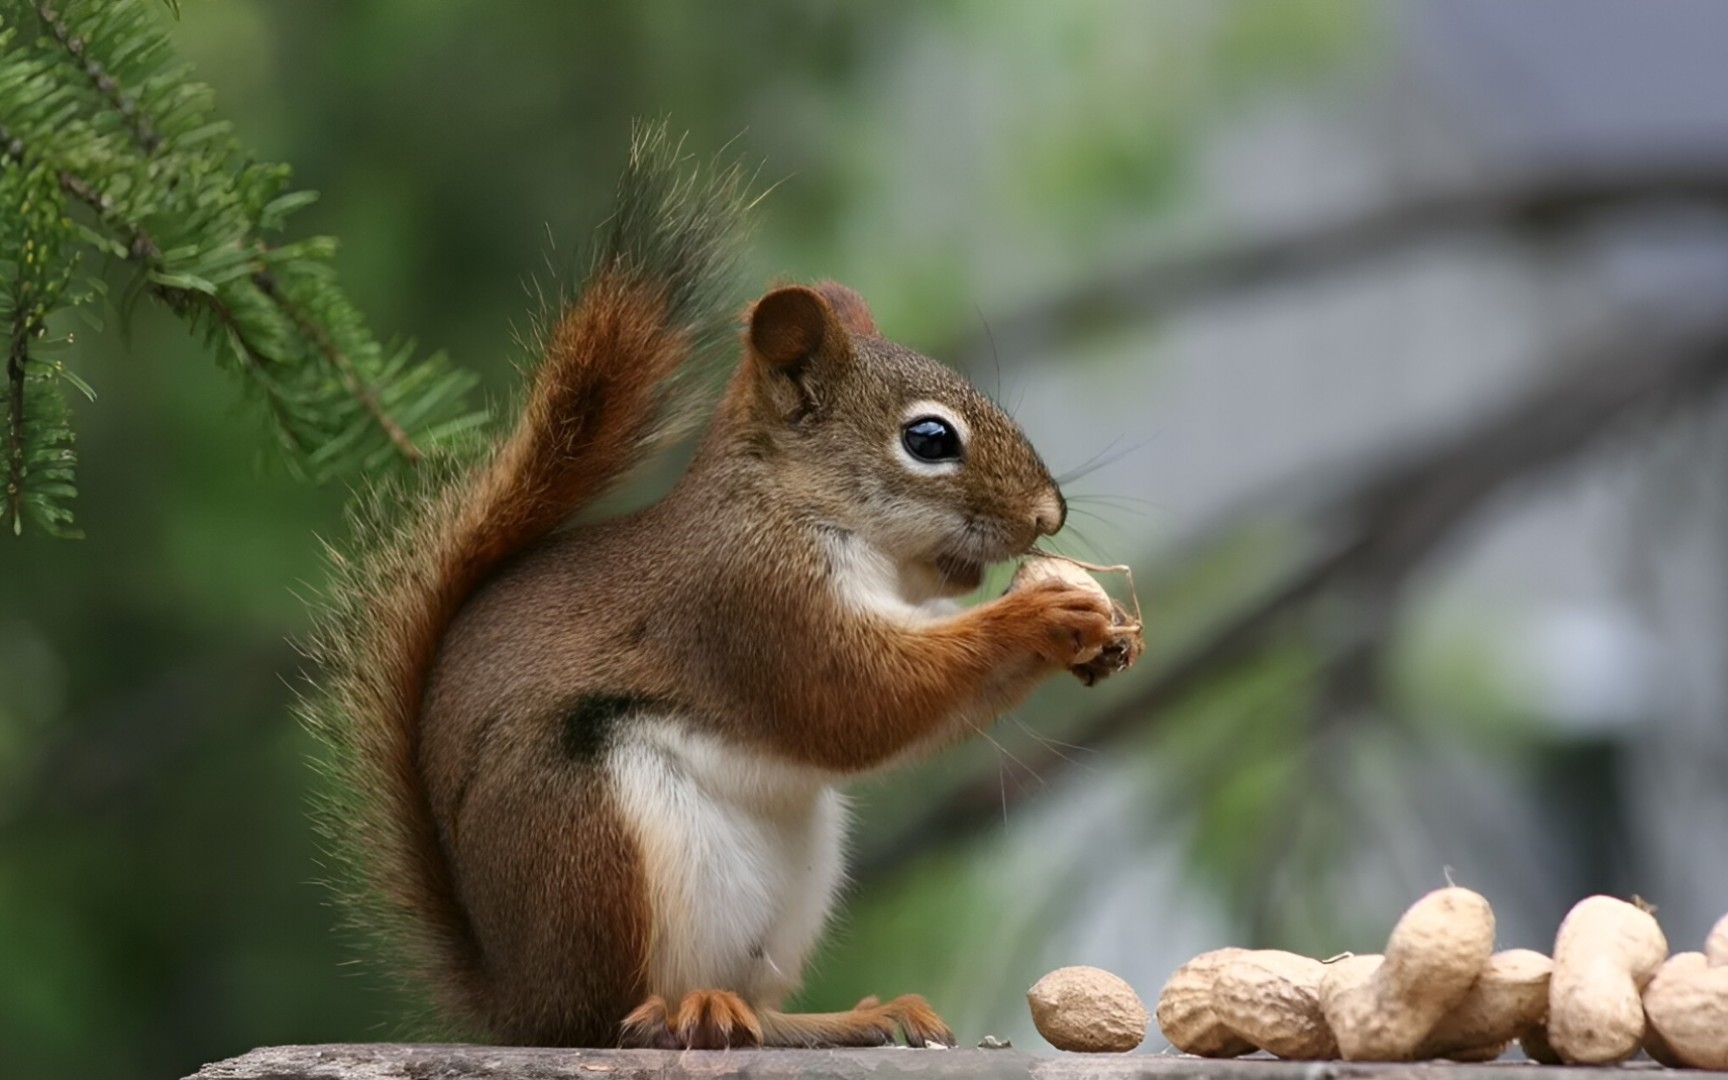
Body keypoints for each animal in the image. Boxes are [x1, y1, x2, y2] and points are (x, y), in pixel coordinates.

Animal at [302, 124, 1119, 1043]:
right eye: (930, 439)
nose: (1049, 514)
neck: (809, 512)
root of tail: (518, 1001)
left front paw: (1091, 628)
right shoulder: (748, 602)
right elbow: (857, 700)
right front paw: (1041, 613)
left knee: (760, 1010)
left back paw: (844, 1017)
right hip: (593, 841)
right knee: (607, 1018)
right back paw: (673, 1012)